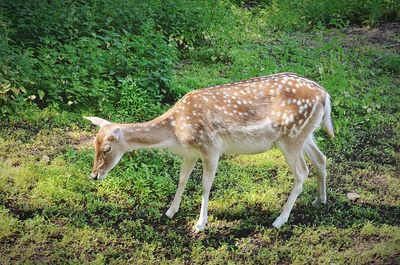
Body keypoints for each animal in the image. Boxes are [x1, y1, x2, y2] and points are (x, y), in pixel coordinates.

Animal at [84, 72, 334, 231]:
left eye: (107, 148)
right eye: (93, 145)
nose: (94, 175)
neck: (175, 131)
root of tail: (326, 95)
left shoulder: (211, 148)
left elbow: (205, 185)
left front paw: (200, 224)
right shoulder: (189, 153)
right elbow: (182, 179)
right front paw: (170, 211)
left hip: (291, 138)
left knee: (302, 172)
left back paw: (279, 220)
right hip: (306, 135)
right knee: (321, 159)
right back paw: (320, 200)